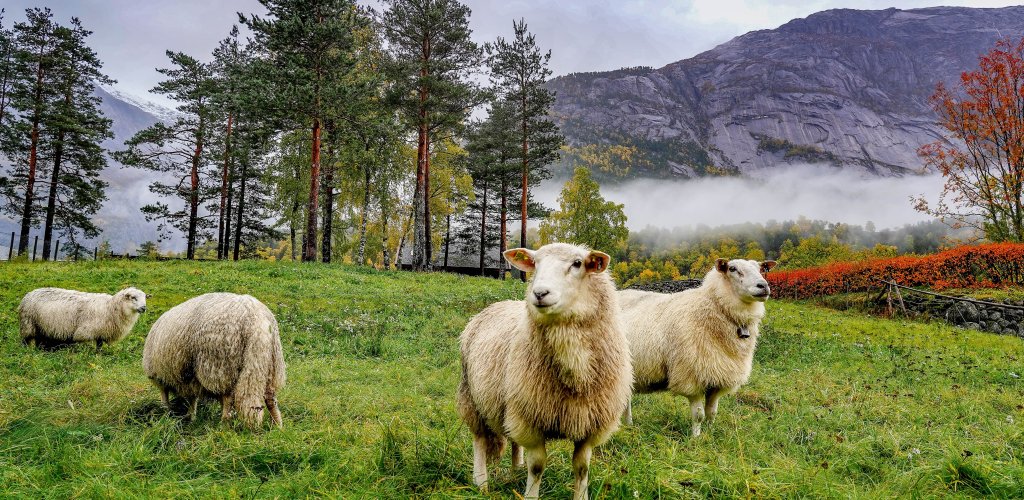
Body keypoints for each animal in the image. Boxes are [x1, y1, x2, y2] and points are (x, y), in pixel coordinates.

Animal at [18, 287, 148, 350]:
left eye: (145, 297)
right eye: (133, 297)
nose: (144, 308)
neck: (111, 307)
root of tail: (28, 294)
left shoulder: (101, 332)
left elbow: (99, 345)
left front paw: (98, 354)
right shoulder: (90, 330)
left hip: (41, 327)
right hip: (28, 324)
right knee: (26, 340)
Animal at [142, 293, 285, 429]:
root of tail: (256, 321)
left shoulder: (160, 376)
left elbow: (167, 397)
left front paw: (168, 414)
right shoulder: (190, 379)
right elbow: (192, 398)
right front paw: (191, 417)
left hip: (222, 365)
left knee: (228, 399)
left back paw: (224, 425)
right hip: (270, 363)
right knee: (270, 398)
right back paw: (277, 426)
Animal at [457, 243, 632, 500]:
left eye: (577, 263)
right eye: (535, 263)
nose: (539, 293)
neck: (575, 373)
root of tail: (494, 306)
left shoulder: (589, 425)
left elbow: (582, 468)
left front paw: (580, 496)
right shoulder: (531, 422)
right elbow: (537, 467)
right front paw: (530, 494)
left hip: (512, 403)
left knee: (513, 441)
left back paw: (515, 470)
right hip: (473, 398)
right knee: (479, 440)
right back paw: (481, 483)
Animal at [619, 258, 776, 436]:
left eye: (761, 268)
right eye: (732, 268)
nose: (763, 286)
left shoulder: (718, 377)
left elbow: (712, 412)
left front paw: (710, 433)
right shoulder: (691, 377)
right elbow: (699, 415)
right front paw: (696, 437)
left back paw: (629, 424)